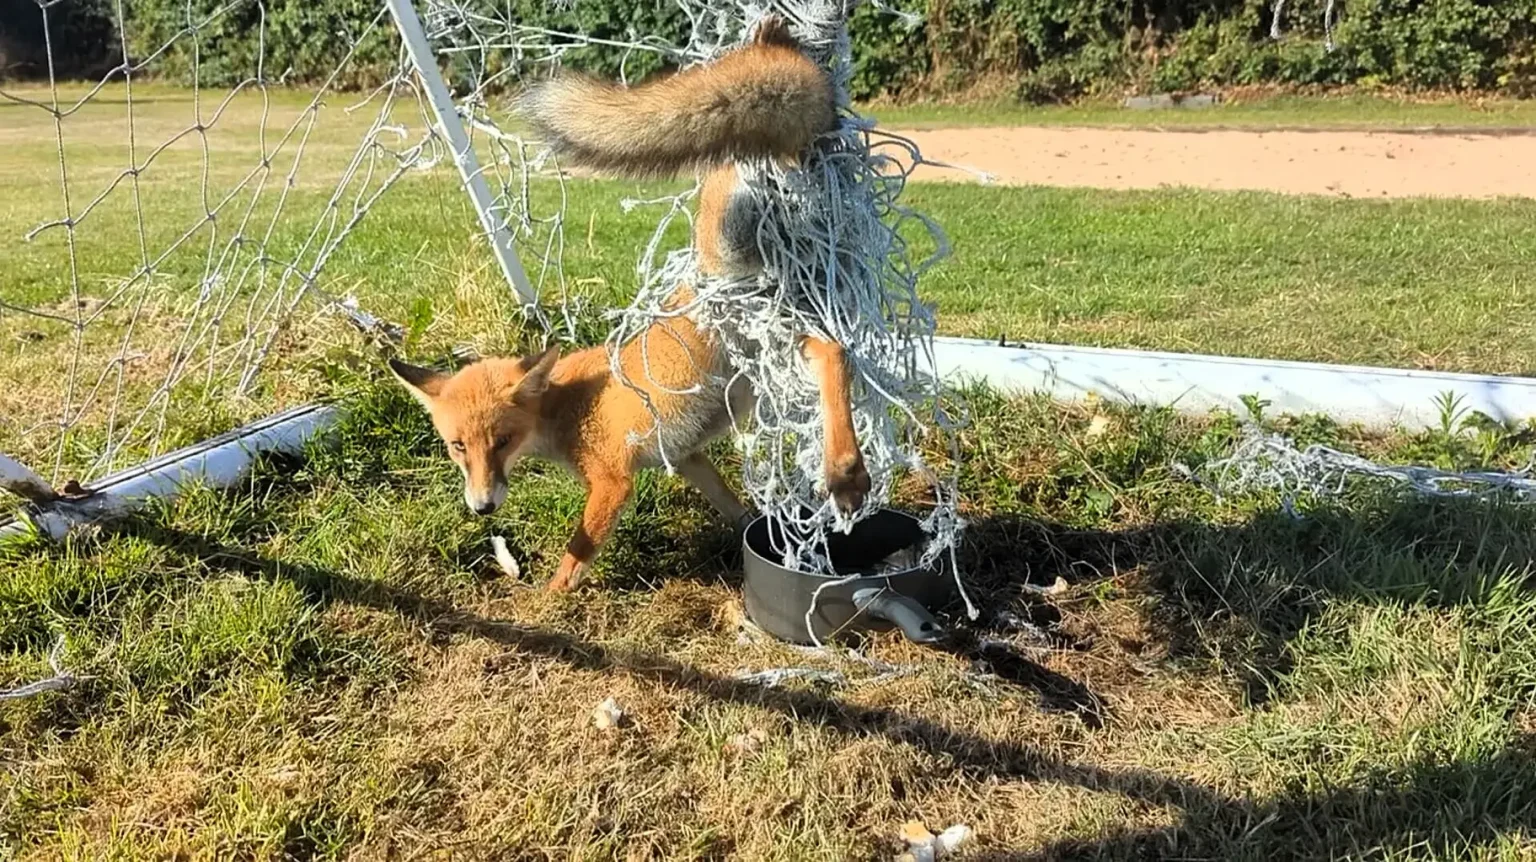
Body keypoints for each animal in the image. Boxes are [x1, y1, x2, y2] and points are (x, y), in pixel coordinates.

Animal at [389, 18, 869, 592]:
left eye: (501, 441)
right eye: (458, 446)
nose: (483, 508)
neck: (564, 406)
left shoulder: (611, 479)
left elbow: (575, 554)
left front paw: (548, 601)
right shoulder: (686, 457)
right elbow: (731, 506)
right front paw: (753, 534)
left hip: (763, 327)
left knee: (832, 351)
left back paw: (845, 473)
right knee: (834, 349)